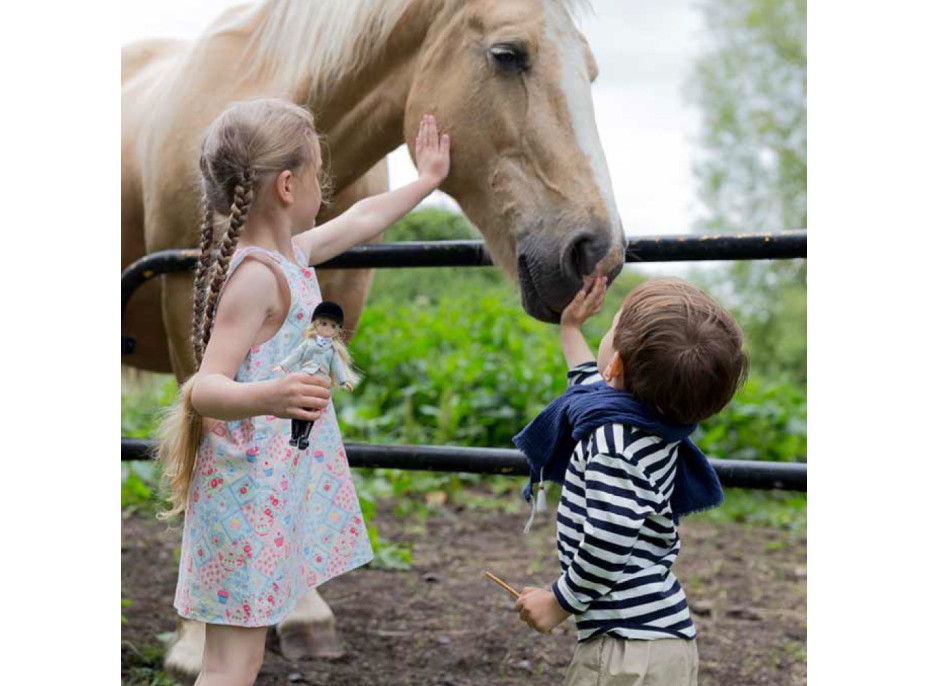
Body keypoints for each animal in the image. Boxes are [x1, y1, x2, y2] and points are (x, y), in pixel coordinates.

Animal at [121, 0, 624, 680]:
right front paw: (195, 641)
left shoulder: (343, 297)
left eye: (592, 72)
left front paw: (303, 615)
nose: (599, 255)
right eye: (508, 54)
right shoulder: (188, 304)